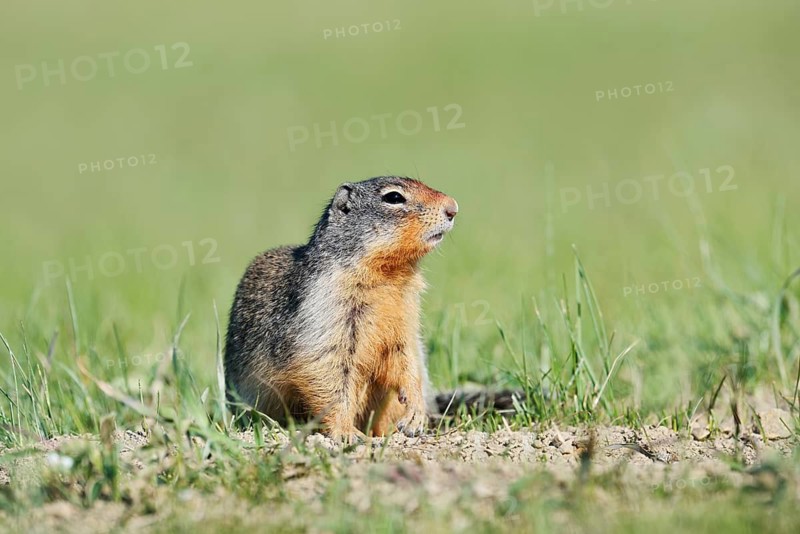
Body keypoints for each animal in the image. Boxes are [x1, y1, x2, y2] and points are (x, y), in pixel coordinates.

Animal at [224, 176, 458, 439]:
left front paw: (414, 417)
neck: (389, 277)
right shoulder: (326, 313)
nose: (453, 207)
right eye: (394, 197)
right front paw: (347, 433)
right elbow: (330, 374)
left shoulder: (404, 322)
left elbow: (407, 363)